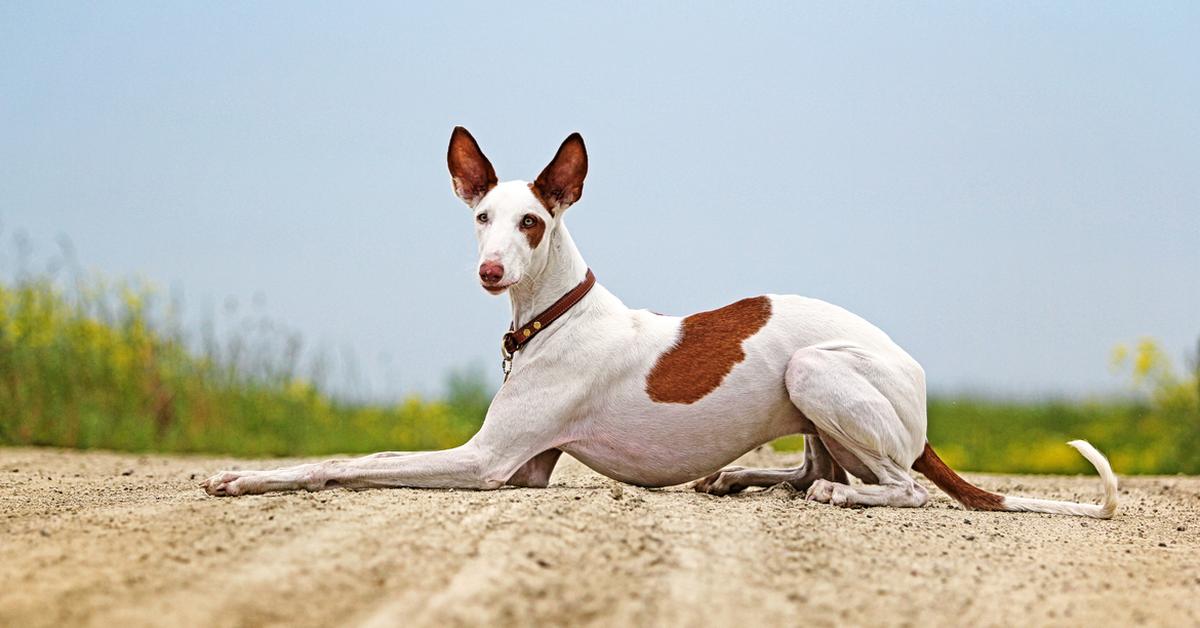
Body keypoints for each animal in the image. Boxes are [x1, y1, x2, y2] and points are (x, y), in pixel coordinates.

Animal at [201, 129, 1118, 521]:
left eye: (533, 222)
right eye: (482, 217)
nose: (490, 272)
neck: (555, 315)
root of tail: (917, 384)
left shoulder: (491, 463)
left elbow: (350, 462)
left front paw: (242, 478)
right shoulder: (526, 469)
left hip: (817, 372)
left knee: (896, 488)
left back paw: (834, 491)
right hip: (812, 406)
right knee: (812, 471)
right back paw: (743, 478)